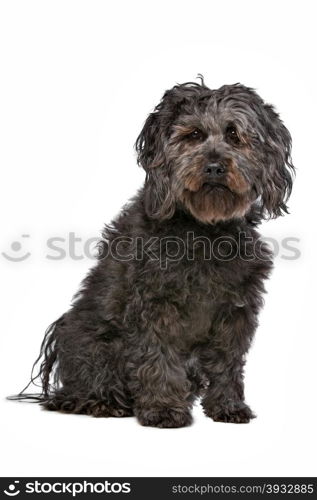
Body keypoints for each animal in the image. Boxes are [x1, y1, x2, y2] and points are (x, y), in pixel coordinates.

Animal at [15, 78, 294, 426]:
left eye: (234, 134)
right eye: (194, 135)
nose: (214, 167)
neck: (205, 230)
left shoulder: (235, 309)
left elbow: (227, 361)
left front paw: (228, 405)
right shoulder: (155, 303)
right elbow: (157, 355)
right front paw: (163, 408)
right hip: (94, 342)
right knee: (82, 390)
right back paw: (104, 402)